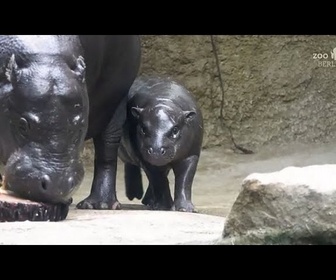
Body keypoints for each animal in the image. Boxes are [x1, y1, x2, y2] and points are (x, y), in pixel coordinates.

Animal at [0, 35, 140, 209]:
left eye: (80, 127)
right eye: (23, 125)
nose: (57, 186)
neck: (46, 57)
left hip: (116, 99)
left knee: (107, 151)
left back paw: (99, 204)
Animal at [119, 75, 203, 211]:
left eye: (175, 130)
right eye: (143, 128)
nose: (156, 150)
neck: (165, 101)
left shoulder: (191, 154)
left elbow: (185, 179)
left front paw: (186, 209)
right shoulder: (145, 159)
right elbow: (159, 180)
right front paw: (163, 207)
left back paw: (147, 201)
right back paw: (136, 196)